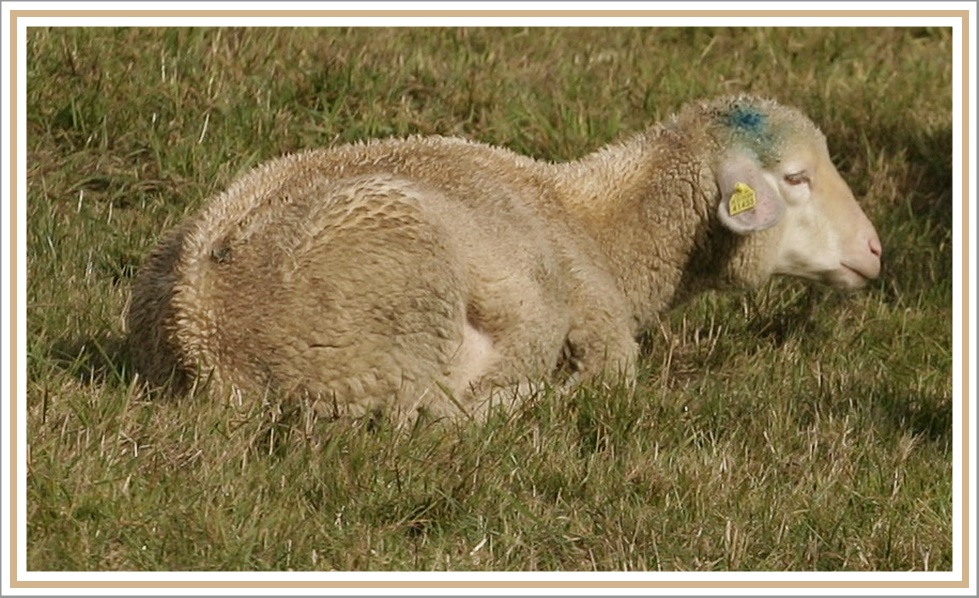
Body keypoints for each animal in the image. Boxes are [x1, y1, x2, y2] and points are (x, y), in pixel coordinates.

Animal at [126, 94, 884, 422]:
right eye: (795, 179)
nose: (875, 250)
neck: (596, 223)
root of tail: (203, 342)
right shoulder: (603, 332)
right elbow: (610, 379)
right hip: (401, 321)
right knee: (428, 419)